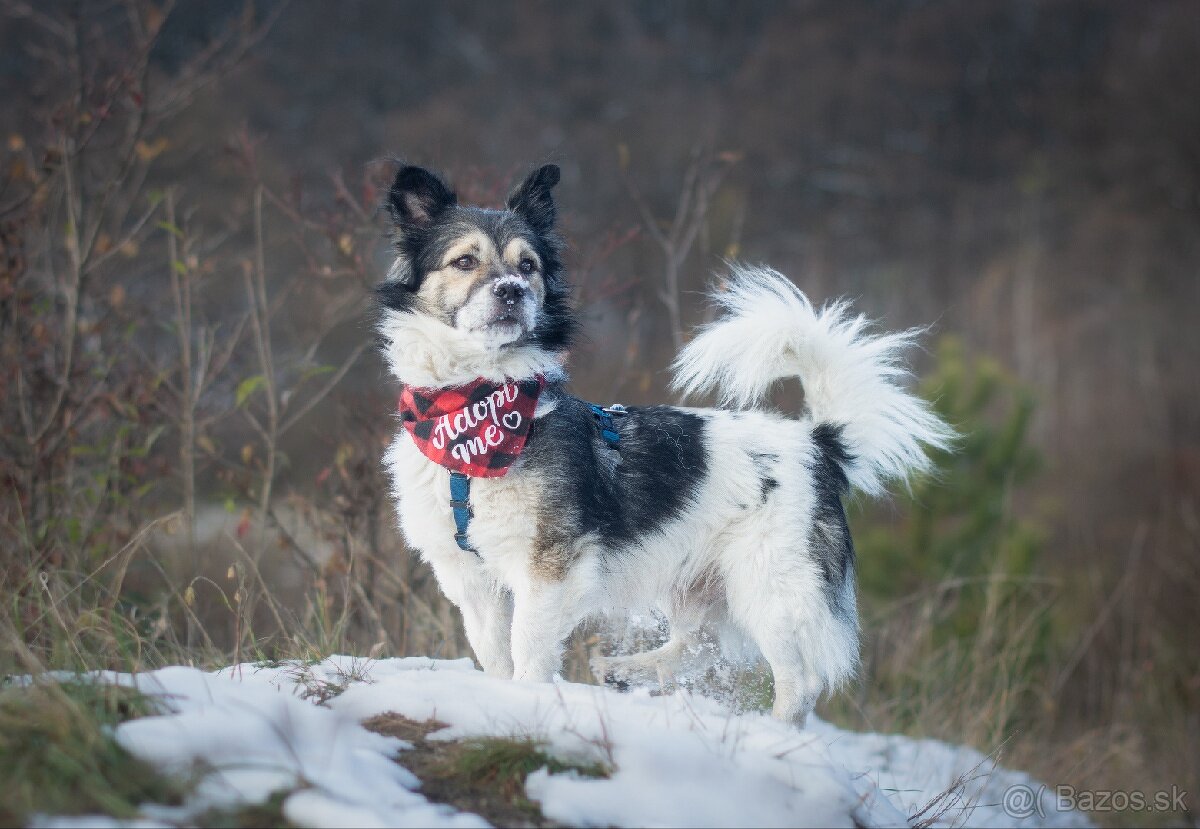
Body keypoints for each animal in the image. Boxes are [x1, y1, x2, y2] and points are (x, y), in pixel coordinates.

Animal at [379, 164, 950, 724]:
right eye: (465, 261)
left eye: (529, 265)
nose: (512, 290)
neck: (473, 415)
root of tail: (817, 442)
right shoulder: (469, 577)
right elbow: (495, 653)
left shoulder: (549, 568)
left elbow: (529, 648)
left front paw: (529, 698)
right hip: (699, 583)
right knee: (700, 643)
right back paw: (625, 671)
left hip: (768, 584)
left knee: (798, 682)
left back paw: (772, 734)